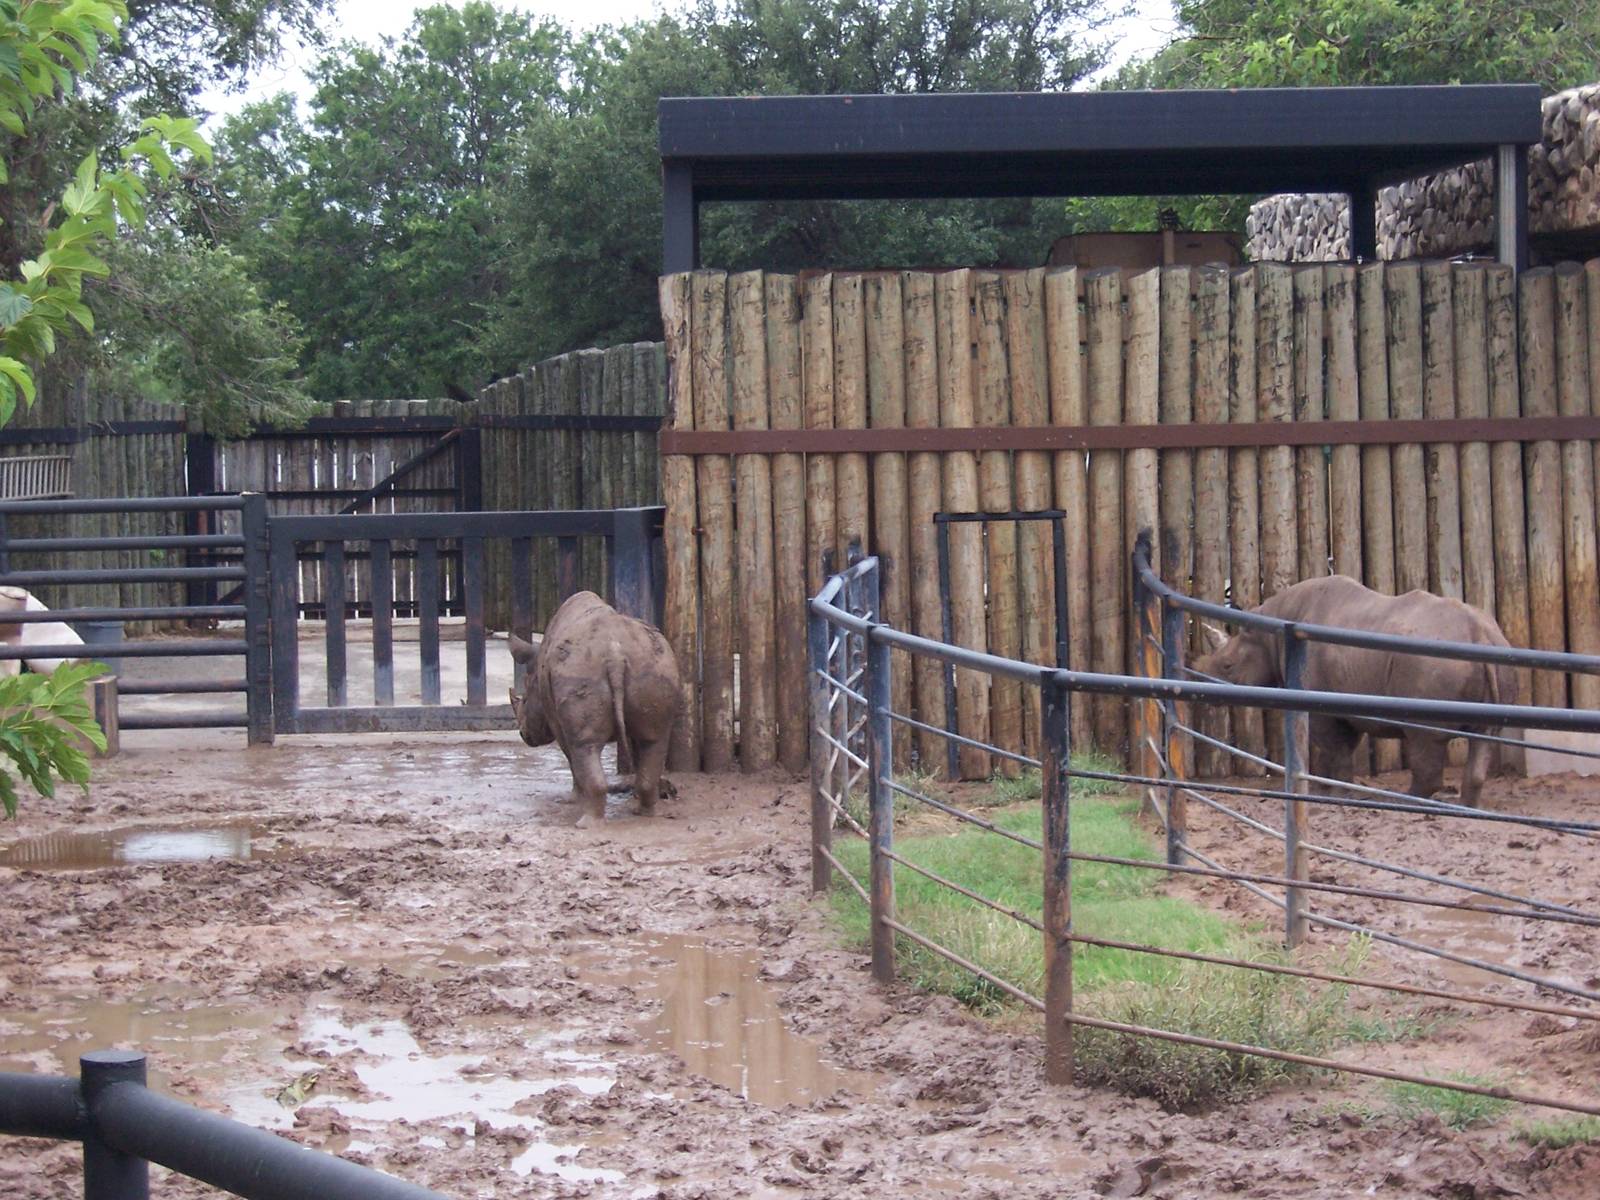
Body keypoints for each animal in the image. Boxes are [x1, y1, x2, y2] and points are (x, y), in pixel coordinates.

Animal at [508, 591, 681, 825]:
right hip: (654, 664)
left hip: (579, 670)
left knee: (584, 746)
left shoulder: (555, 718)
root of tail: (615, 655)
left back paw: (585, 824)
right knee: (653, 741)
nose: (524, 735)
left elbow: (570, 756)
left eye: (524, 700)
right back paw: (647, 813)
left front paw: (573, 799)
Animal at [1193, 576, 1518, 807]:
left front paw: (1333, 793)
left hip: (1433, 665)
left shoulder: (1323, 706)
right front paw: (1324, 788)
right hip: (1498, 659)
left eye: (1227, 666)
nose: (1201, 680)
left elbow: (1335, 749)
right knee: (1485, 736)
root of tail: (1481, 635)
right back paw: (1465, 807)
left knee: (1424, 737)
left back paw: (1410, 801)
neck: (1269, 635)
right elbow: (1339, 748)